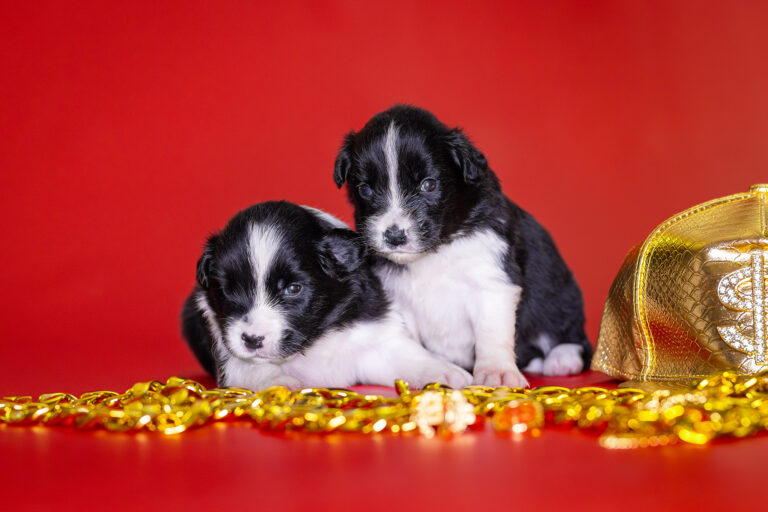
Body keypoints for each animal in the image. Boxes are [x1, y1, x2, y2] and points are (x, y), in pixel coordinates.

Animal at [180, 202, 472, 390]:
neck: (314, 343)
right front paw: (278, 382)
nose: (252, 340)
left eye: (293, 289)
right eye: (227, 291)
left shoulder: (373, 338)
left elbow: (407, 356)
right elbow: (251, 368)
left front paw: (444, 372)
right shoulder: (228, 355)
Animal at [332, 106, 592, 386]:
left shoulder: (492, 280)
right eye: (365, 189)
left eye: (429, 184)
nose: (394, 236)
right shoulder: (397, 297)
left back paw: (562, 358)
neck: (435, 252)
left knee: (574, 337)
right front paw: (427, 368)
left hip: (560, 297)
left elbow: (491, 333)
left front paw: (497, 372)